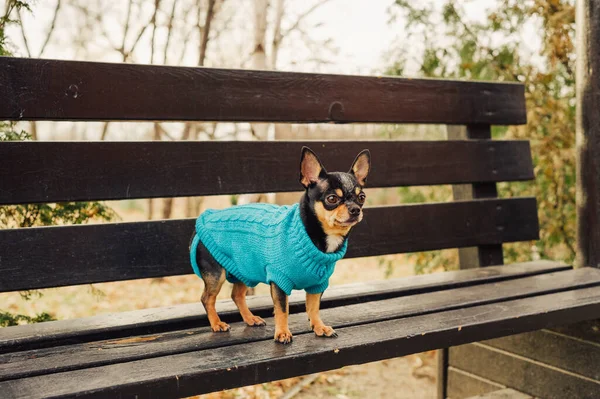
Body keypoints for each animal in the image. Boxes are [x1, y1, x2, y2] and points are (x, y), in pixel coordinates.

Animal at [190, 147, 370, 344]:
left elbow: (313, 307)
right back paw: (217, 323)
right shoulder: (279, 280)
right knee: (207, 298)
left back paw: (250, 319)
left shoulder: (318, 284)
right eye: (332, 199)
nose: (356, 209)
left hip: (245, 269)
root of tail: (202, 223)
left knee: (236, 295)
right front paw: (283, 333)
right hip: (217, 275)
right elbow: (283, 310)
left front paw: (319, 327)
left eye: (362, 197)